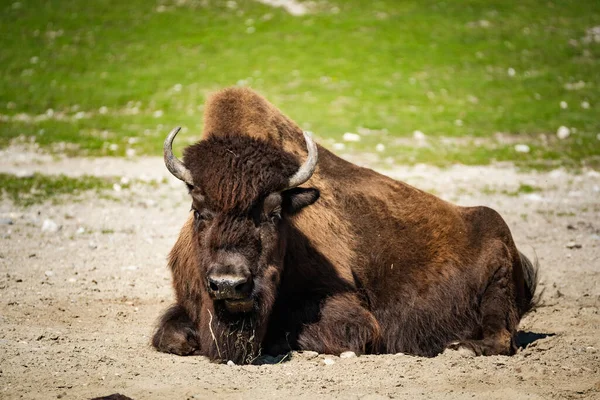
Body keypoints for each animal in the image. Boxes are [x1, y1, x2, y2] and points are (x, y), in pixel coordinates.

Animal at [151, 87, 540, 366]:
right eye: (199, 210)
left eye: (274, 213)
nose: (229, 284)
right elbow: (166, 335)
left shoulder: (353, 318)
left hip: (497, 285)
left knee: (502, 336)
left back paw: (460, 346)